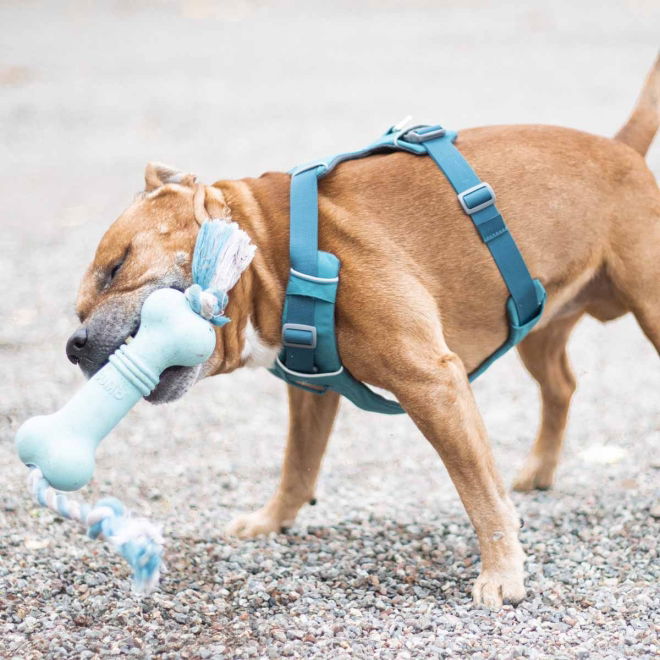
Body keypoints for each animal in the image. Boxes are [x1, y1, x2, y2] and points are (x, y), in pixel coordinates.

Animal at [69, 59, 656, 604]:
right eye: (77, 314)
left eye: (117, 267)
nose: (74, 346)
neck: (276, 249)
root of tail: (620, 148)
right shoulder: (313, 391)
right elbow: (298, 465)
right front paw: (270, 521)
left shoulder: (432, 384)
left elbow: (477, 491)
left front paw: (501, 573)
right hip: (537, 325)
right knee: (560, 385)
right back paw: (539, 469)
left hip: (648, 310)